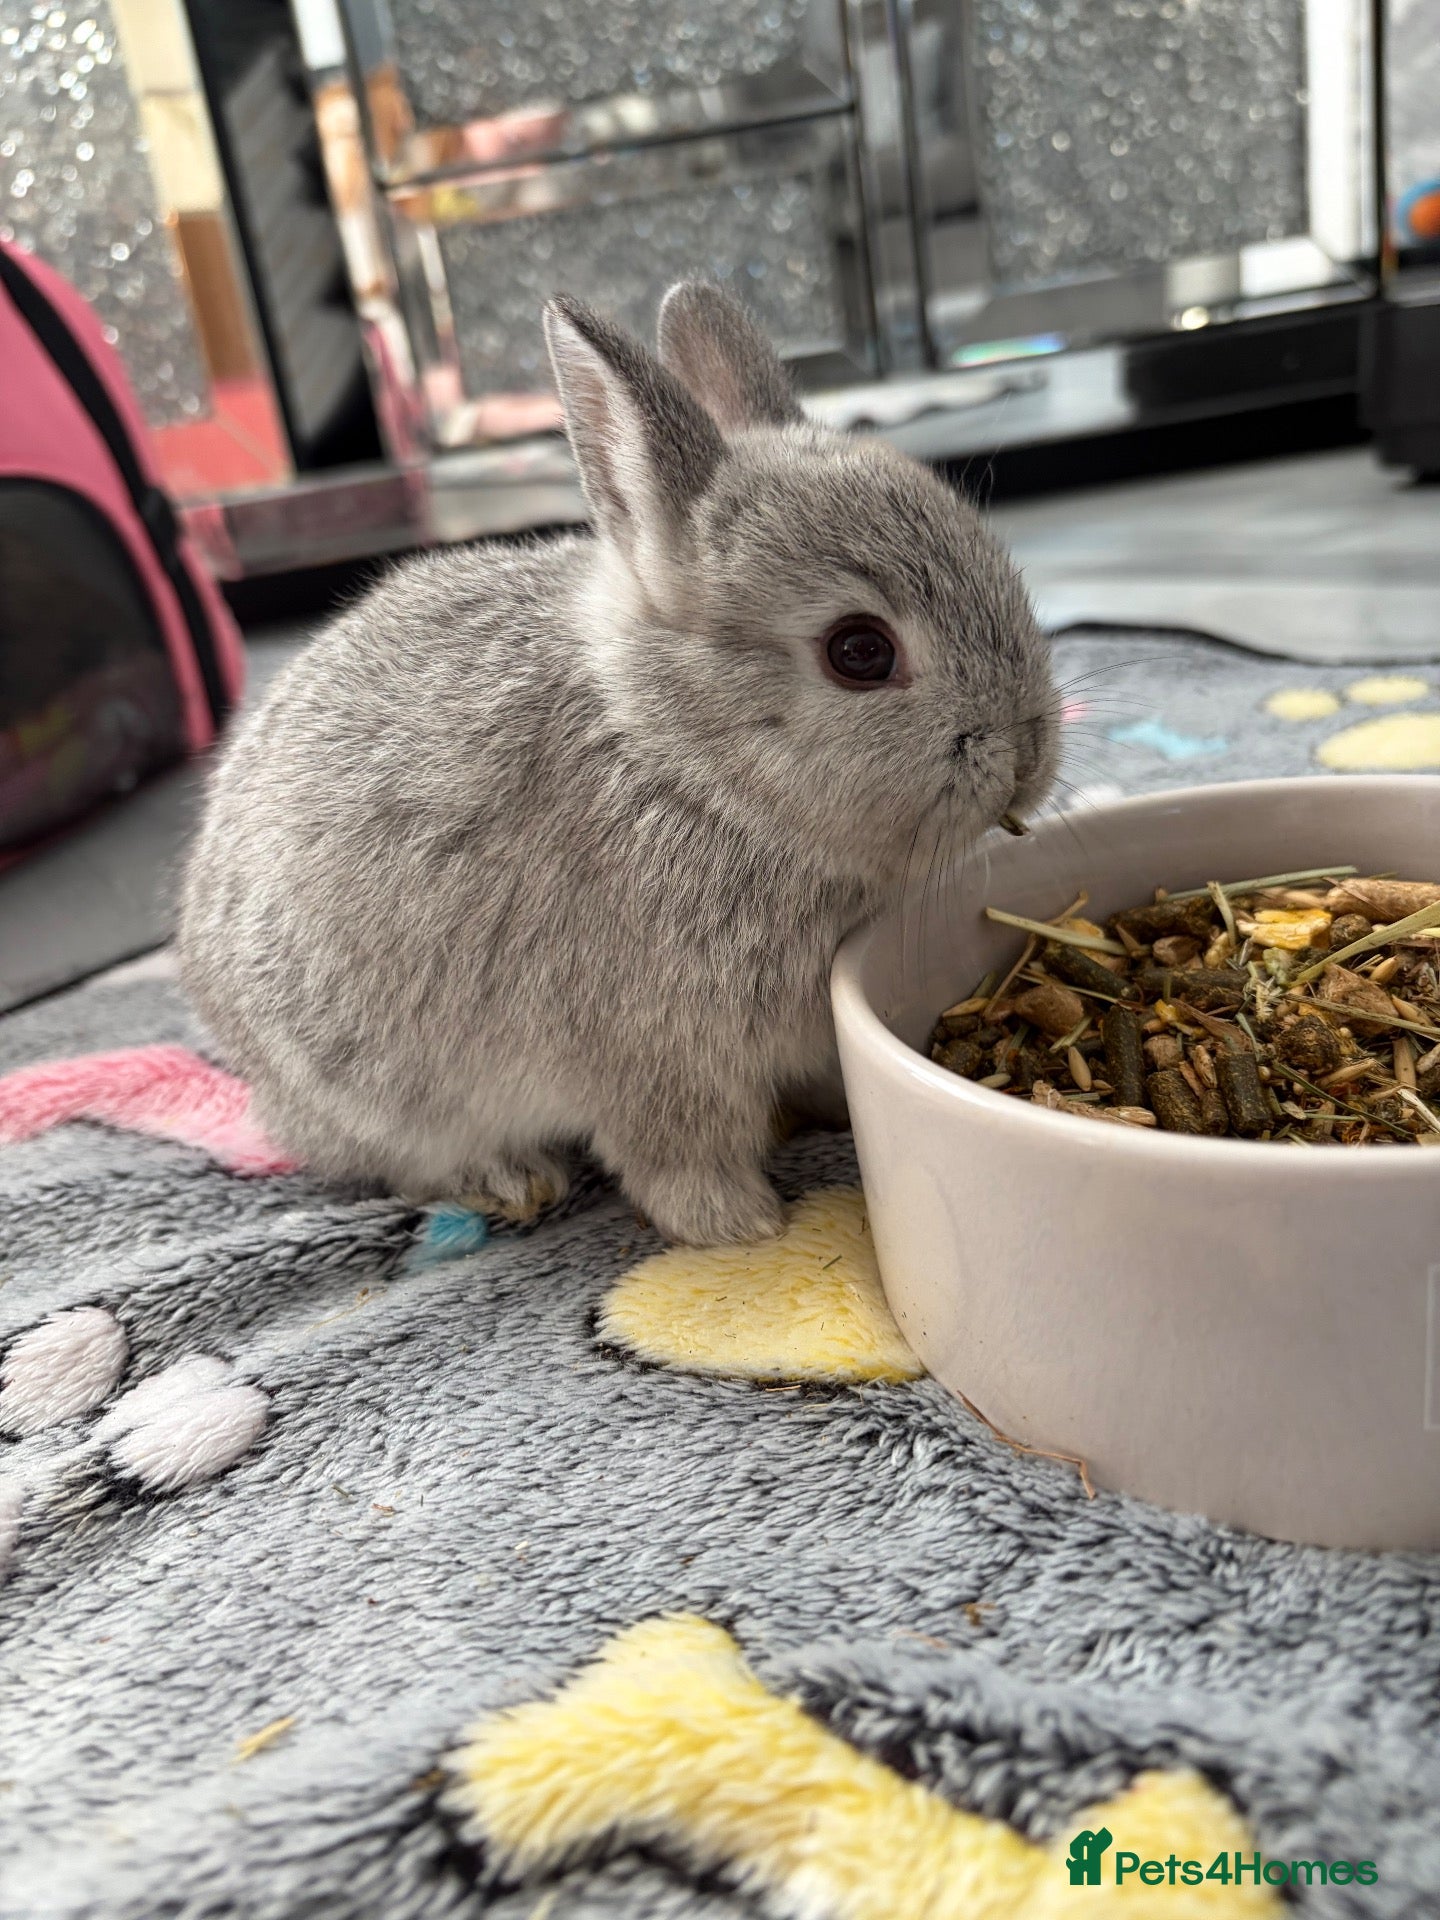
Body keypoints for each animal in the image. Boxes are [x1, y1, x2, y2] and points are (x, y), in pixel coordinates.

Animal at [177, 283, 1058, 1246]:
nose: (1029, 754)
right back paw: (511, 1181)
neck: (685, 763)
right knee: (400, 1162)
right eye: (859, 652)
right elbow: (674, 1152)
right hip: (374, 1088)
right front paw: (743, 1227)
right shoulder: (654, 1055)